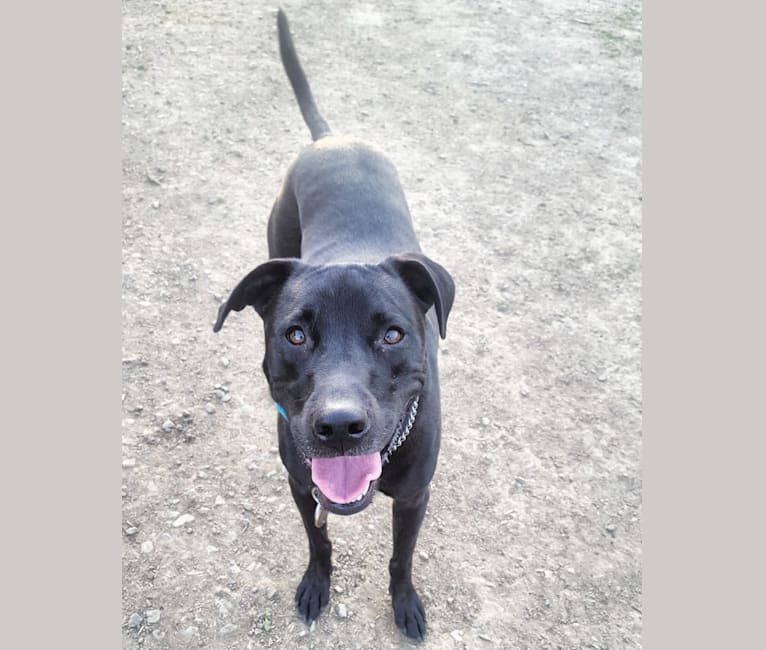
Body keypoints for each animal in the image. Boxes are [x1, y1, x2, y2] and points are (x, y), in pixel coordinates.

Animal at [214, 10, 456, 636]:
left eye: (393, 334)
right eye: (295, 335)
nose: (341, 426)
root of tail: (330, 137)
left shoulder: (415, 496)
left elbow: (401, 557)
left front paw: (405, 604)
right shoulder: (303, 485)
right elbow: (318, 541)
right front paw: (316, 585)